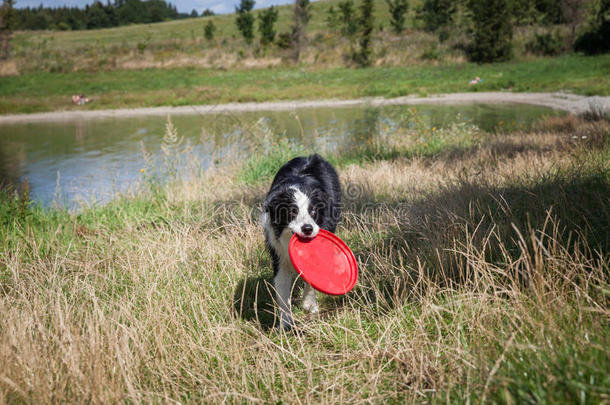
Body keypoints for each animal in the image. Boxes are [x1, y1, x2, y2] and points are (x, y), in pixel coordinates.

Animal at [258, 153, 340, 330]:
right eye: (292, 212)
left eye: (313, 211)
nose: (307, 228)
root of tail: (311, 156)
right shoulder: (278, 254)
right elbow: (282, 290)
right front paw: (285, 324)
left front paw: (310, 305)